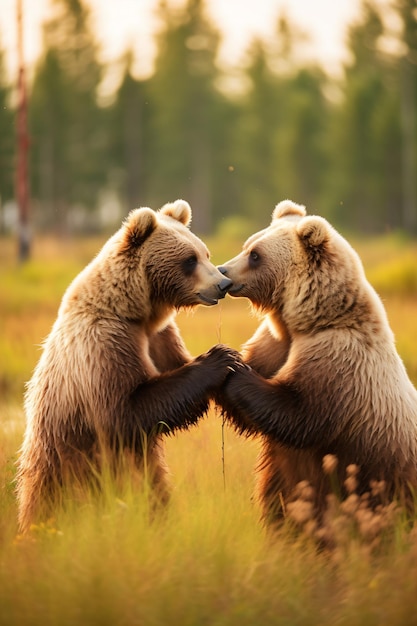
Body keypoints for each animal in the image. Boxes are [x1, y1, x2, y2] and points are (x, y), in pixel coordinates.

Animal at [17, 200, 237, 532]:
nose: (222, 284)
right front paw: (219, 358)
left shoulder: (159, 337)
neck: (135, 311)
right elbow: (122, 411)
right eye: (189, 260)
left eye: (205, 253)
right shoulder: (104, 344)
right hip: (67, 466)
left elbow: (175, 372)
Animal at [216, 199, 416, 520]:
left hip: (388, 477)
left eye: (256, 255)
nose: (223, 273)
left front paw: (235, 370)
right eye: (247, 244)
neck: (308, 321)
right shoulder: (275, 343)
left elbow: (300, 413)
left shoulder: (339, 358)